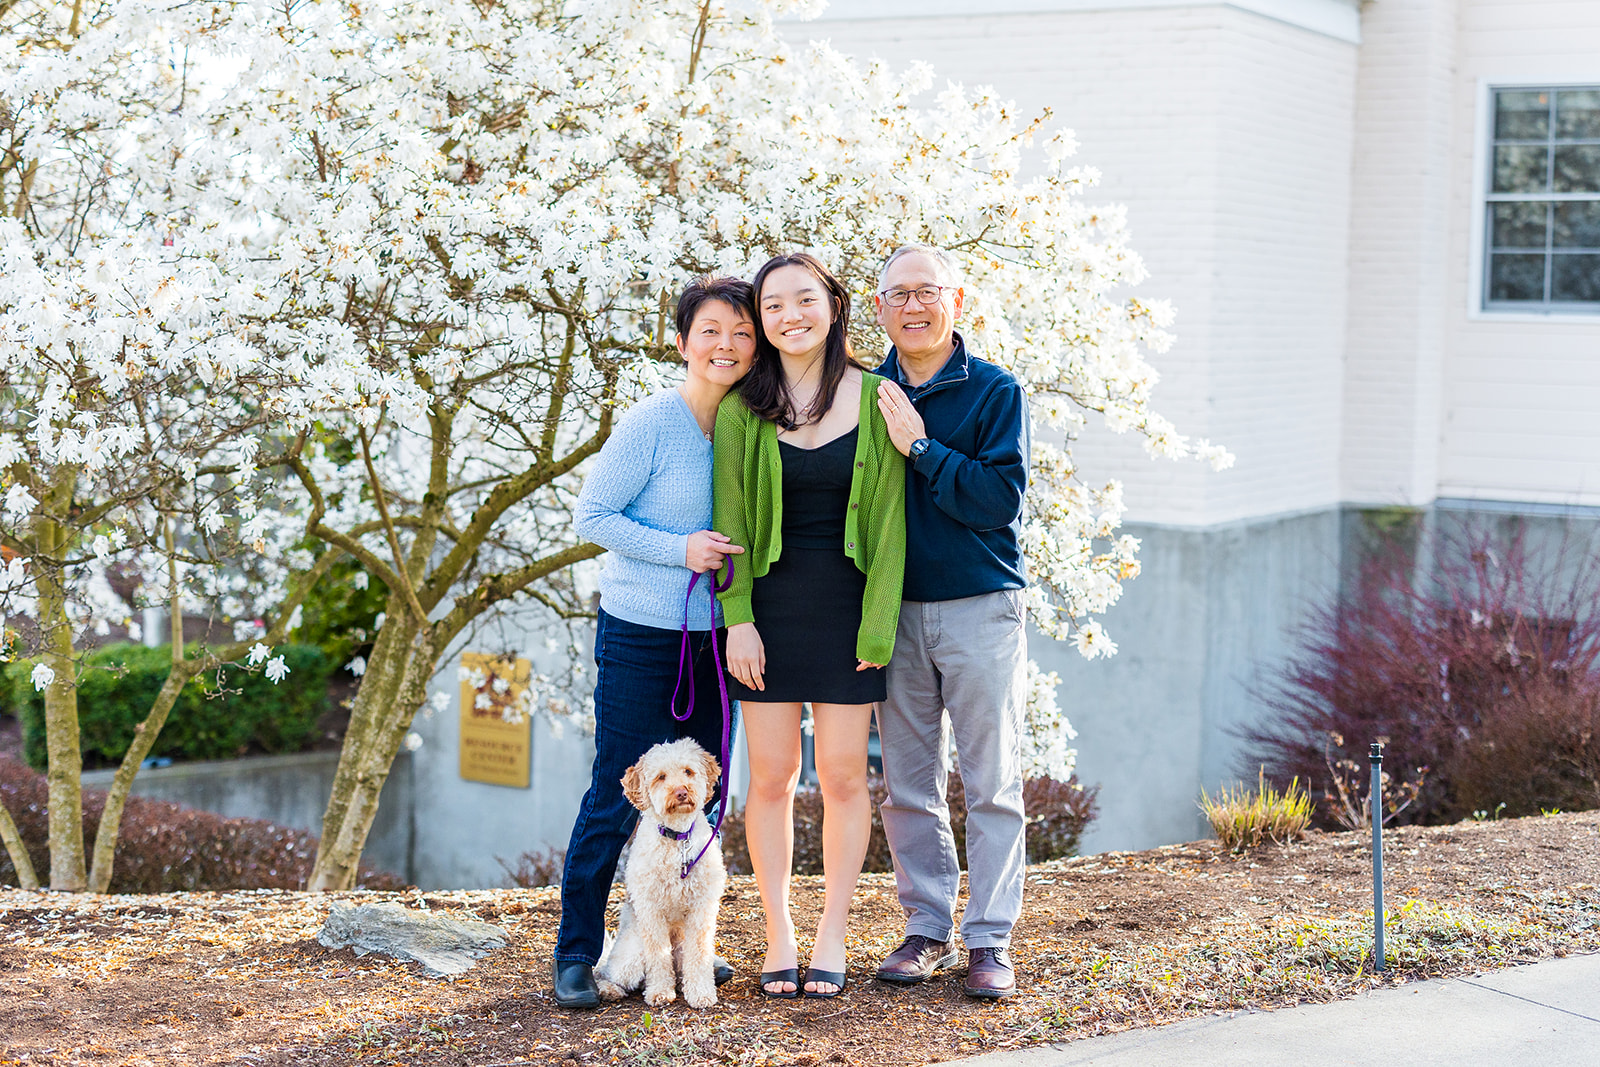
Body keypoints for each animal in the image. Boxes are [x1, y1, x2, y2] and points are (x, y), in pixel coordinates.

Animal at [598, 739, 729, 1004]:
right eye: (661, 777)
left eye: (688, 771)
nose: (681, 792)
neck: (678, 838)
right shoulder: (651, 910)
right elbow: (658, 955)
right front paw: (660, 992)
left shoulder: (702, 909)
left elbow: (699, 955)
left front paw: (701, 993)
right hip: (632, 955)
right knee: (610, 974)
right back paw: (610, 989)